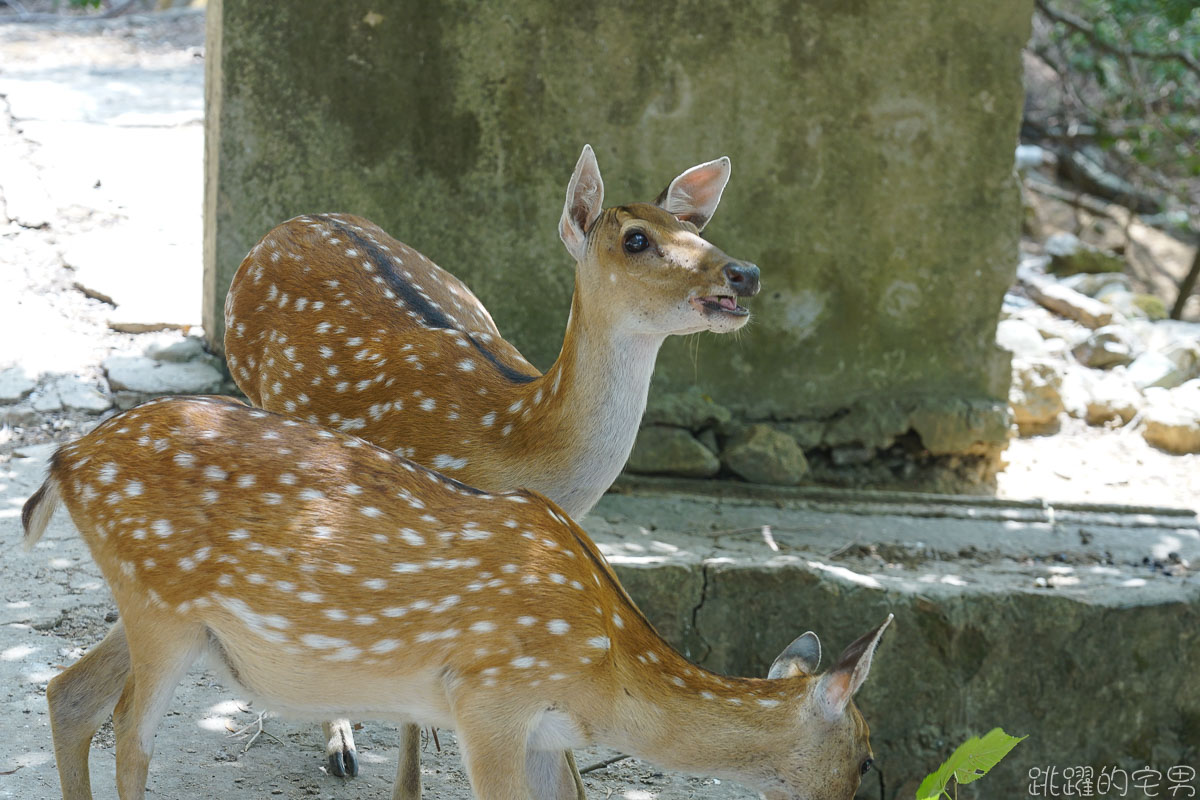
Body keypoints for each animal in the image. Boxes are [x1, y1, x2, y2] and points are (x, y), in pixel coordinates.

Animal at [21, 398, 892, 800]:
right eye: (868, 754)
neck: (609, 678)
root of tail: (66, 460)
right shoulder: (490, 698)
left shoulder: (544, 732)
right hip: (161, 602)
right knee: (129, 732)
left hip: (164, 613)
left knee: (68, 692)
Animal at [224, 142, 763, 782]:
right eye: (636, 238)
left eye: (696, 230)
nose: (745, 273)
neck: (510, 435)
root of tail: (289, 222)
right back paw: (340, 748)